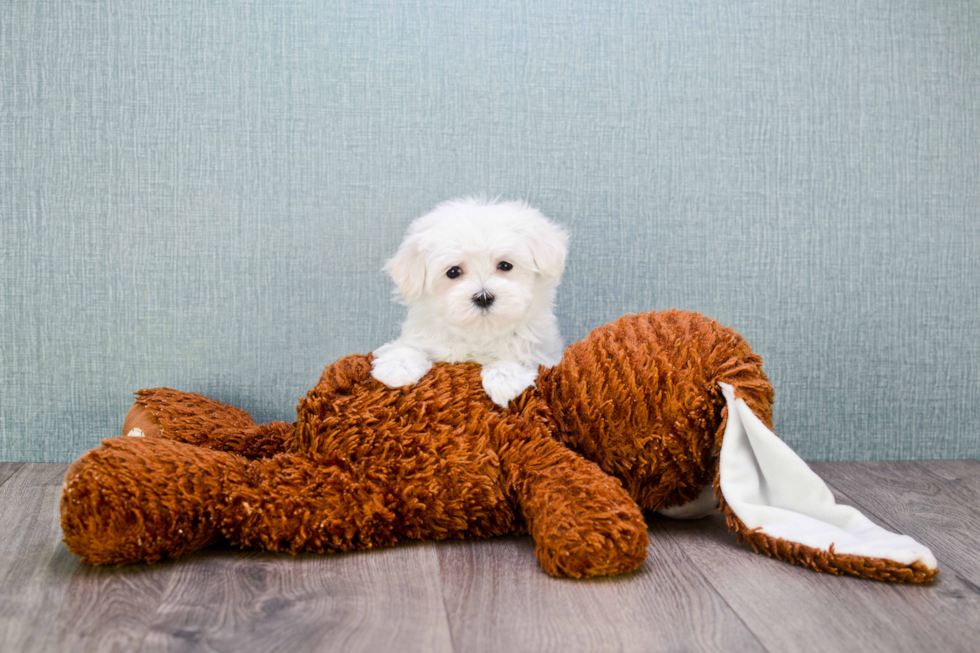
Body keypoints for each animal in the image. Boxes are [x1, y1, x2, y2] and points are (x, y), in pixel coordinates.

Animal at [372, 196, 572, 404]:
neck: (480, 333)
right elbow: (411, 346)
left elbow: (520, 356)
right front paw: (397, 367)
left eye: (505, 265)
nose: (483, 297)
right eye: (453, 272)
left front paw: (504, 378)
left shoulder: (544, 353)